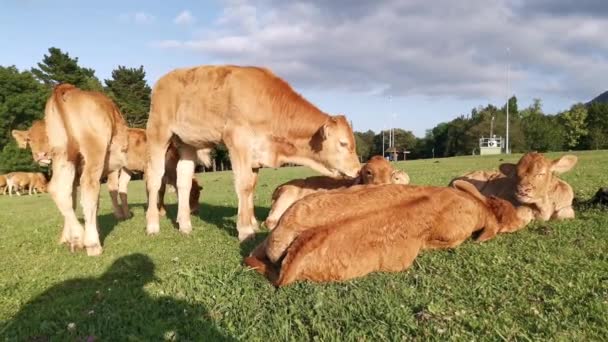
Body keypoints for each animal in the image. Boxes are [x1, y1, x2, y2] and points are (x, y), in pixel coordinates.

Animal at [145, 65, 360, 240]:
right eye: (343, 143)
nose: (358, 169)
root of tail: (164, 79)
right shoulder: (237, 141)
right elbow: (244, 185)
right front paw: (245, 230)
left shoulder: (255, 156)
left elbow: (251, 187)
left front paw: (253, 224)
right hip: (158, 134)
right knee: (155, 180)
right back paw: (153, 225)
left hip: (188, 144)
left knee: (184, 181)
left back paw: (185, 225)